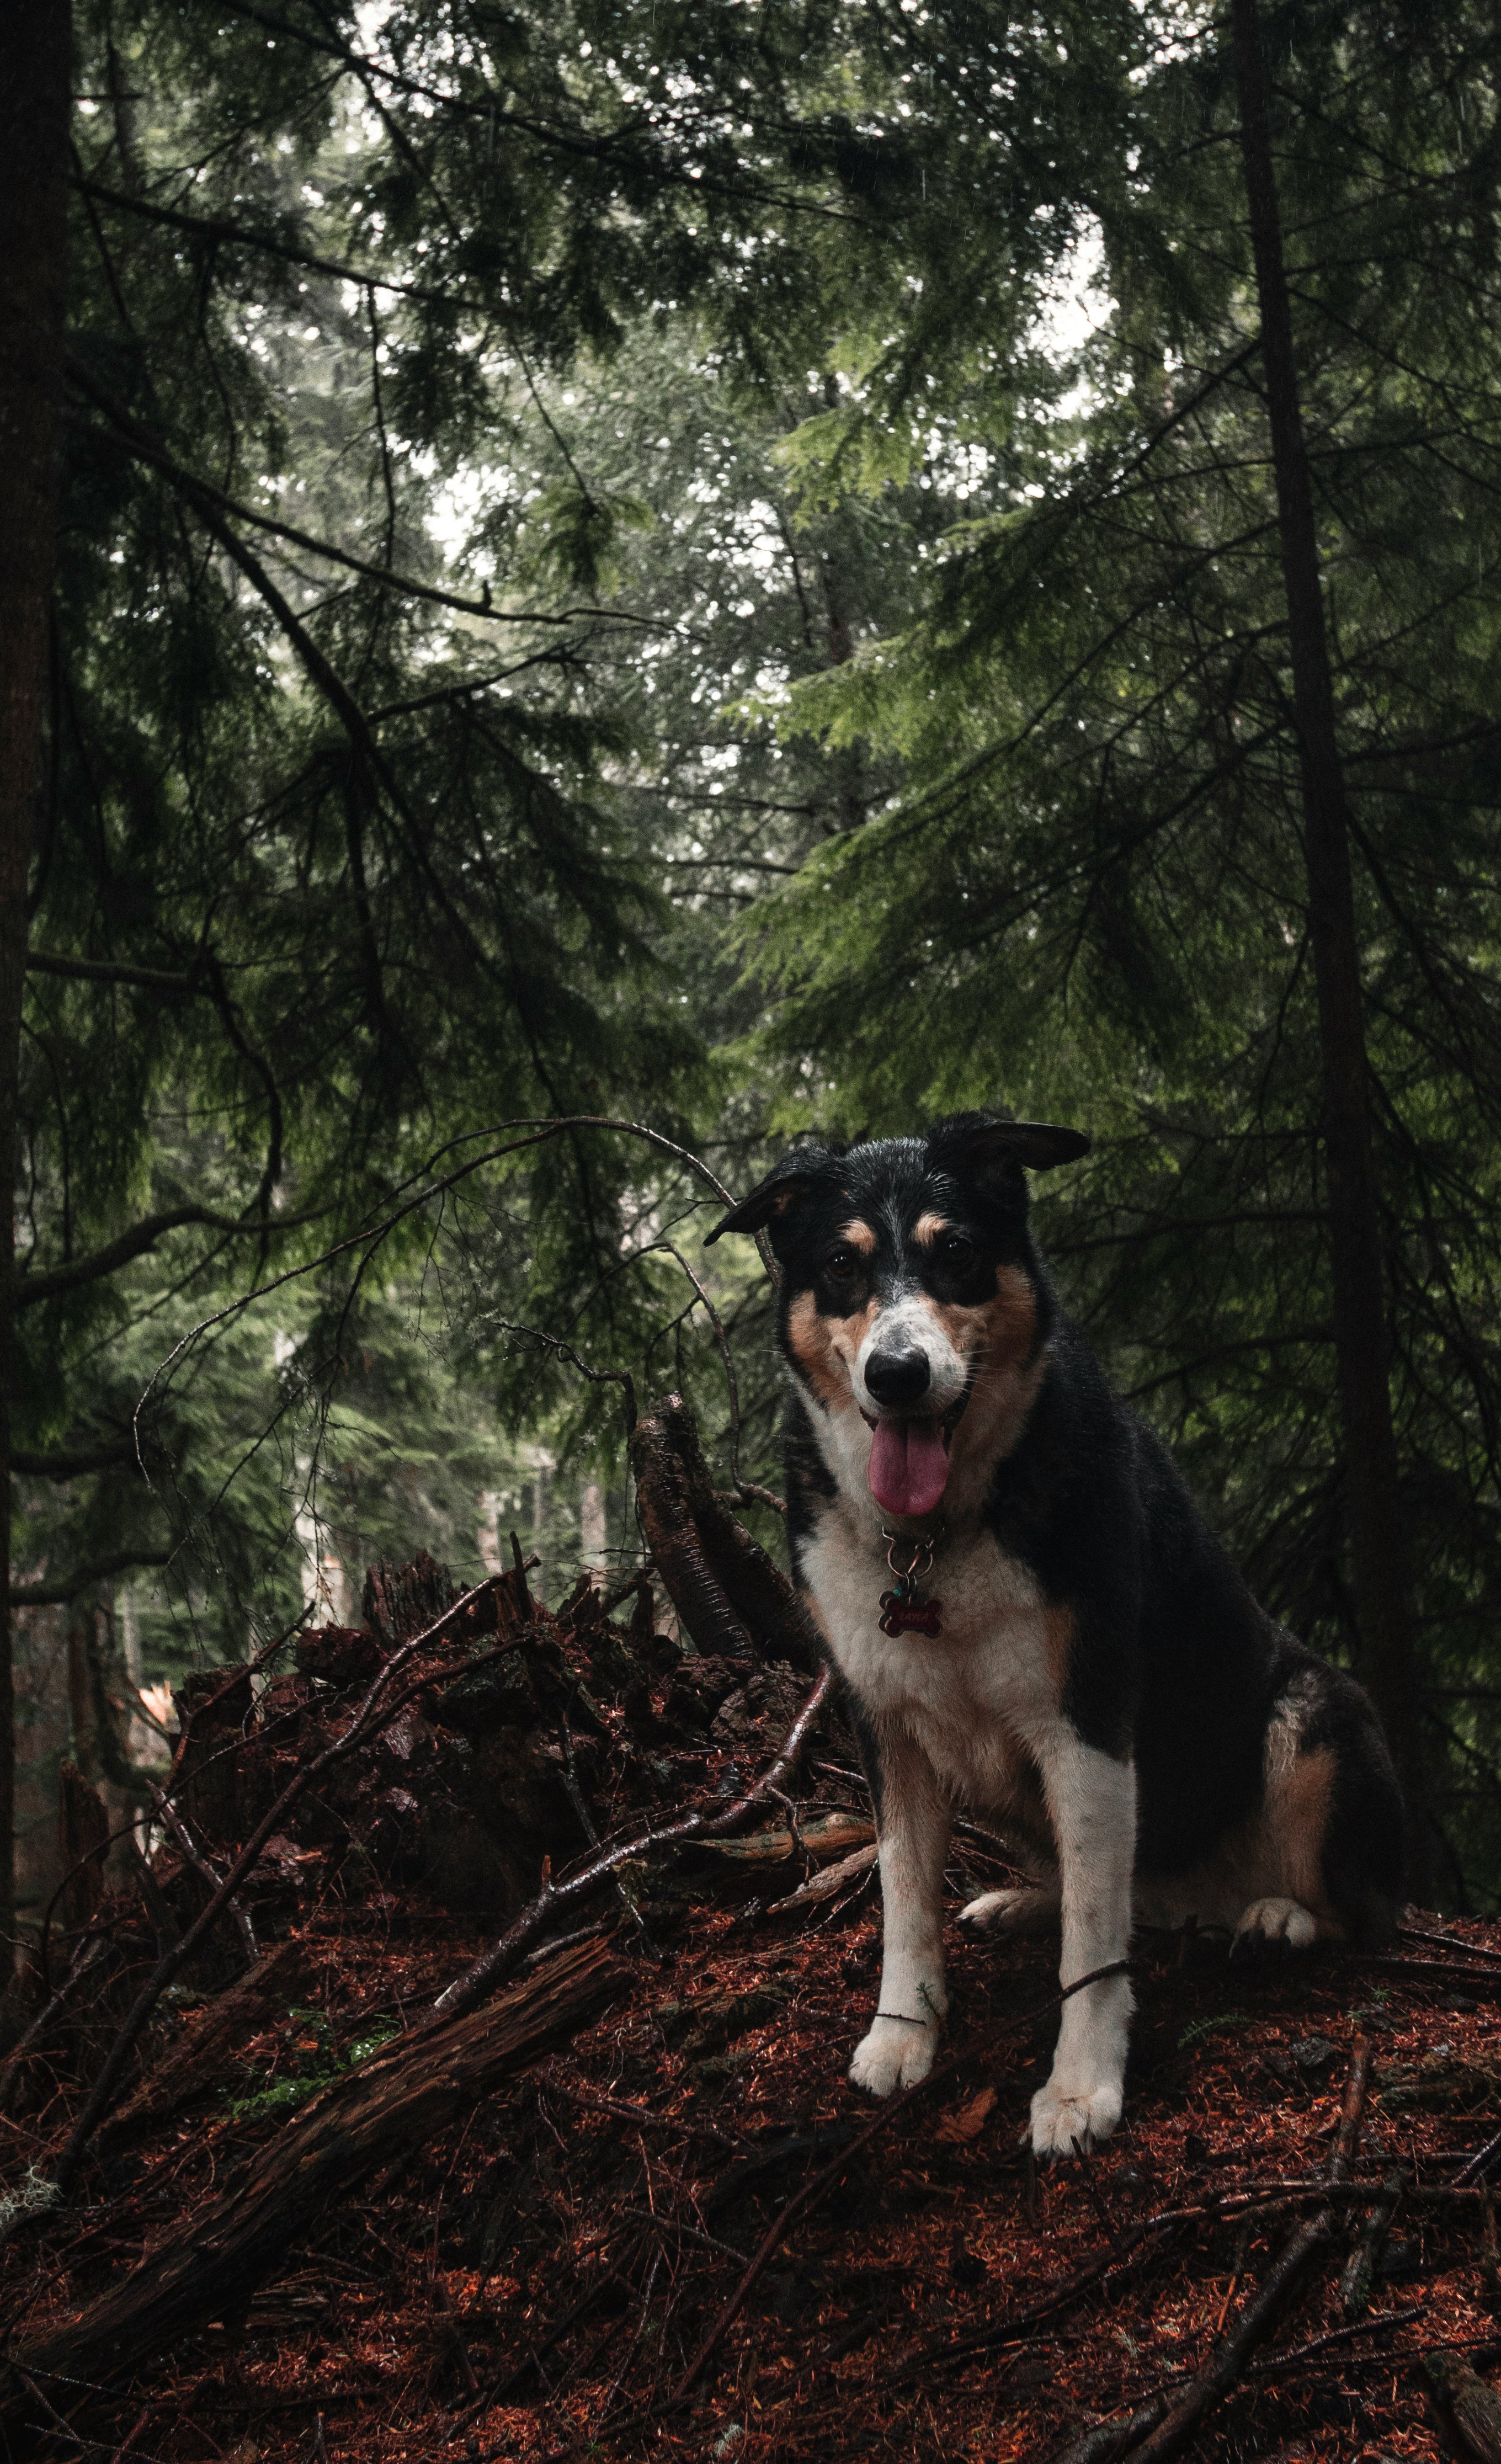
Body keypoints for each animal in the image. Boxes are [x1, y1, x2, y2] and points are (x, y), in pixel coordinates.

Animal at [710, 1119, 1399, 2158]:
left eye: (957, 1251)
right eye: (839, 1264)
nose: (897, 1375)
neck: (934, 1537)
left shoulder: (1088, 1722)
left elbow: (1094, 1943)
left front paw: (1081, 2087)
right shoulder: (886, 1724)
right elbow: (904, 1893)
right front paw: (903, 2033)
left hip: (1316, 1712)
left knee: (1336, 1907)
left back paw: (1278, 1915)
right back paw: (1025, 1901)